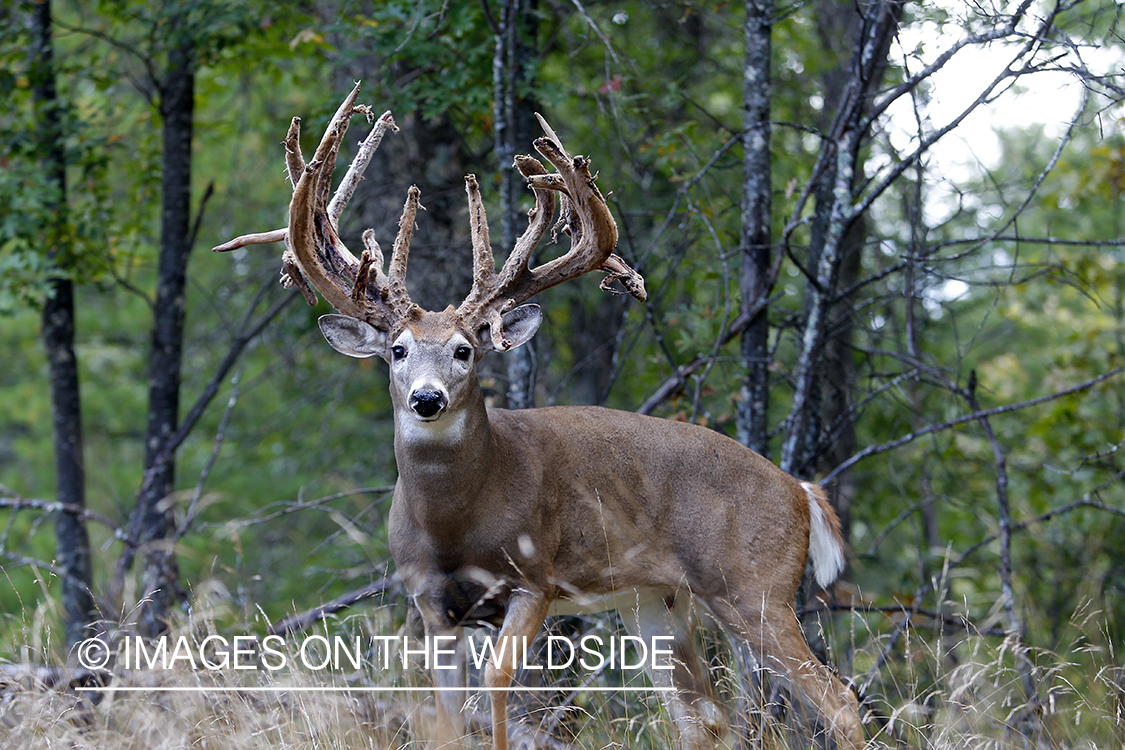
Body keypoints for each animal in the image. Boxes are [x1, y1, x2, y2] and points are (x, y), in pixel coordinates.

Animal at [214, 83, 864, 750]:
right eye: (396, 350)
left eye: (464, 350)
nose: (427, 399)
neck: (453, 523)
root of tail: (801, 490)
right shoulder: (430, 601)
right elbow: (448, 717)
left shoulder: (534, 576)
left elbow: (499, 687)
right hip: (656, 601)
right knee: (709, 720)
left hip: (753, 585)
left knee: (837, 697)